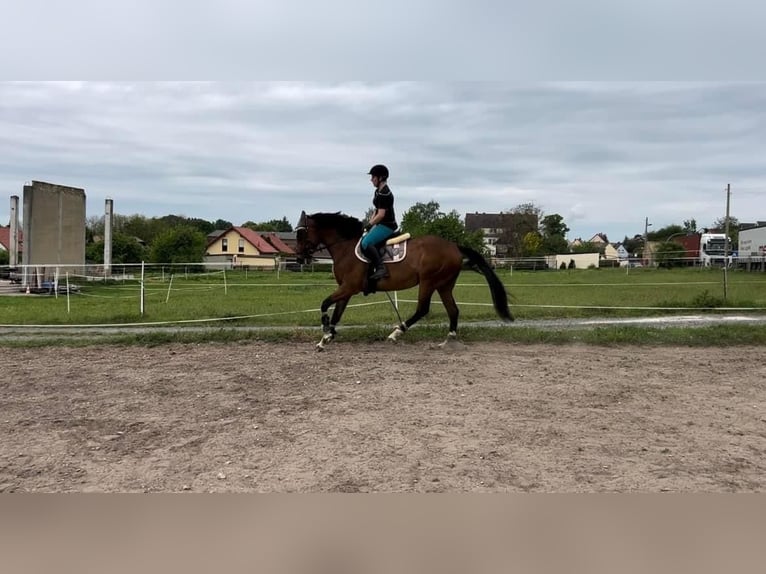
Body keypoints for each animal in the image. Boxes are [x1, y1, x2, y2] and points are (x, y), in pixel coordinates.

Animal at [296, 212, 512, 352]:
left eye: (302, 233)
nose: (299, 258)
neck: (346, 247)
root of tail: (453, 246)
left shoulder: (349, 286)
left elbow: (325, 304)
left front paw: (325, 330)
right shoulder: (346, 289)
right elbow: (337, 312)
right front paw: (326, 338)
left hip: (428, 282)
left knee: (423, 309)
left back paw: (396, 333)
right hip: (444, 285)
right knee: (453, 310)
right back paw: (449, 341)